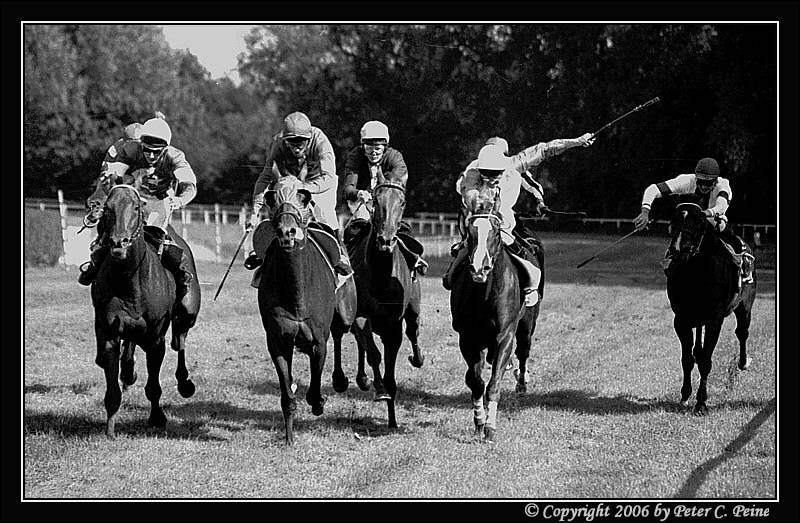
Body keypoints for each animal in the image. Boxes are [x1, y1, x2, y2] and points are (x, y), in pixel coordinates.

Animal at [89, 178, 197, 440]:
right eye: (107, 208)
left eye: (137, 207)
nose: (119, 244)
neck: (129, 280)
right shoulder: (110, 333)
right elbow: (112, 387)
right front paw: (110, 430)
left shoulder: (155, 338)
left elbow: (154, 386)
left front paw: (157, 418)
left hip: (187, 312)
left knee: (180, 340)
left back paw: (185, 383)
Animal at [253, 175, 334, 442]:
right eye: (271, 197)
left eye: (304, 196)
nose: (287, 232)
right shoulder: (278, 340)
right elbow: (287, 393)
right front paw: (289, 437)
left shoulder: (319, 340)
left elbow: (315, 385)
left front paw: (318, 402)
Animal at [344, 182, 428, 428]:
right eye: (376, 200)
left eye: (402, 202)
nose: (386, 242)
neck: (380, 275)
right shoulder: (362, 316)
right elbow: (372, 352)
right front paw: (380, 389)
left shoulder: (393, 324)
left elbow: (392, 361)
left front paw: (392, 419)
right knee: (362, 342)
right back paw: (363, 379)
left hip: (414, 308)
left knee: (413, 331)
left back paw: (417, 358)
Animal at [446, 183, 540, 442]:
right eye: (470, 233)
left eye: (496, 232)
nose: (480, 268)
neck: (485, 295)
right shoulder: (468, 338)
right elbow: (476, 382)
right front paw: (479, 422)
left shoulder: (505, 336)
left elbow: (494, 383)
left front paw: (490, 427)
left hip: (527, 324)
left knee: (523, 350)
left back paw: (522, 382)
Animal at [664, 203, 752, 416]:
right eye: (674, 222)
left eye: (697, 224)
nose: (677, 250)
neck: (696, 272)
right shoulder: (682, 319)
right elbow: (688, 359)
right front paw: (685, 395)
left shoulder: (714, 319)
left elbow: (705, 360)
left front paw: (701, 402)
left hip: (745, 306)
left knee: (742, 331)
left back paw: (743, 362)